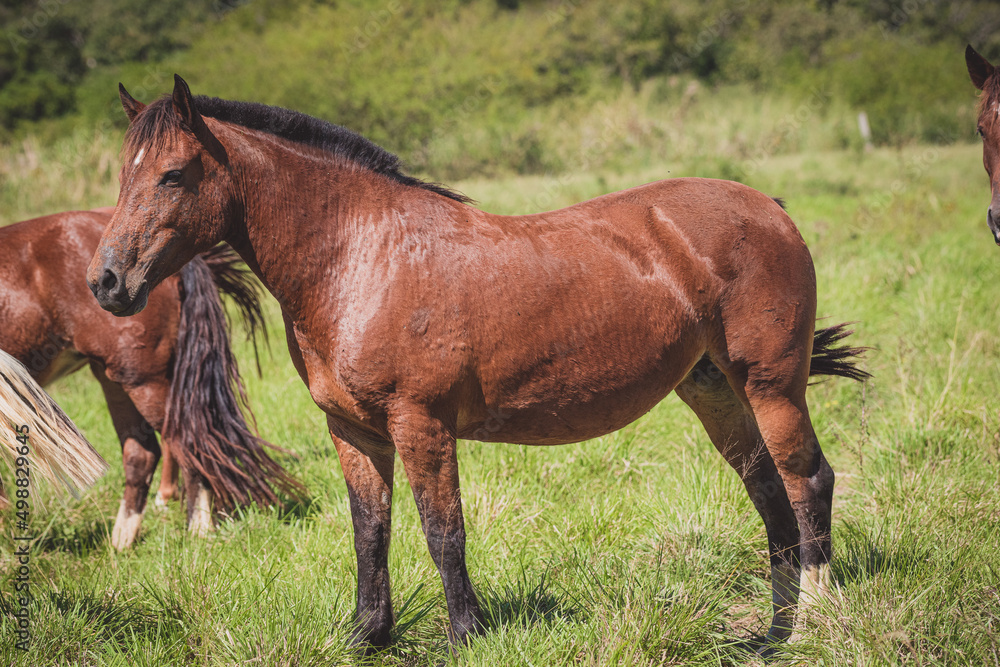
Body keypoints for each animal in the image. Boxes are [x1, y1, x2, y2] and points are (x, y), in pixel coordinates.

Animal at [0, 211, 300, 552]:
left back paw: (197, 530)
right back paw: (122, 543)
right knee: (144, 453)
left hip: (142, 379)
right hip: (117, 378)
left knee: (184, 439)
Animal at [86, 77, 868, 652]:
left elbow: (443, 531)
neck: (360, 256)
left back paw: (814, 624)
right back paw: (770, 636)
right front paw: (369, 636)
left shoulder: (420, 424)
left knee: (807, 482)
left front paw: (466, 634)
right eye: (123, 177)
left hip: (770, 384)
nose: (106, 282)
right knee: (769, 494)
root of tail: (766, 206)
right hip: (714, 389)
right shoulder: (354, 433)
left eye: (173, 175)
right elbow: (370, 532)